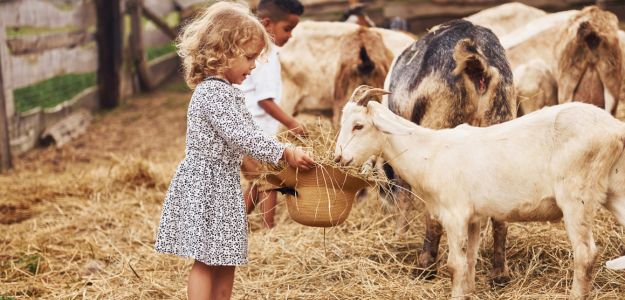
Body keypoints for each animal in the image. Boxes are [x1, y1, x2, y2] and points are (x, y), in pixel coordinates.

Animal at [334, 85, 624, 298]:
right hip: (615, 190)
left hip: (577, 196)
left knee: (585, 254)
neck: (429, 152)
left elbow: (455, 265)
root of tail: (615, 128)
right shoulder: (473, 218)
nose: (338, 158)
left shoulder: (455, 215)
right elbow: (469, 263)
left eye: (359, 125)